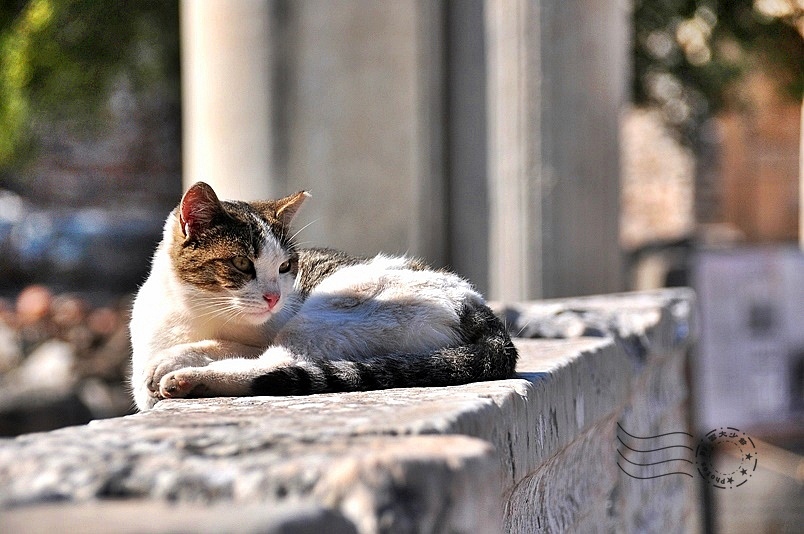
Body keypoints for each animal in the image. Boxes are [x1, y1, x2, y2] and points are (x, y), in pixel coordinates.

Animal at [129, 182, 520, 412]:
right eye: (242, 263)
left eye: (285, 267)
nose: (274, 297)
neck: (193, 312)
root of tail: (478, 306)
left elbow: (226, 346)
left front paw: (170, 360)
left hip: (328, 311)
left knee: (278, 364)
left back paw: (188, 379)